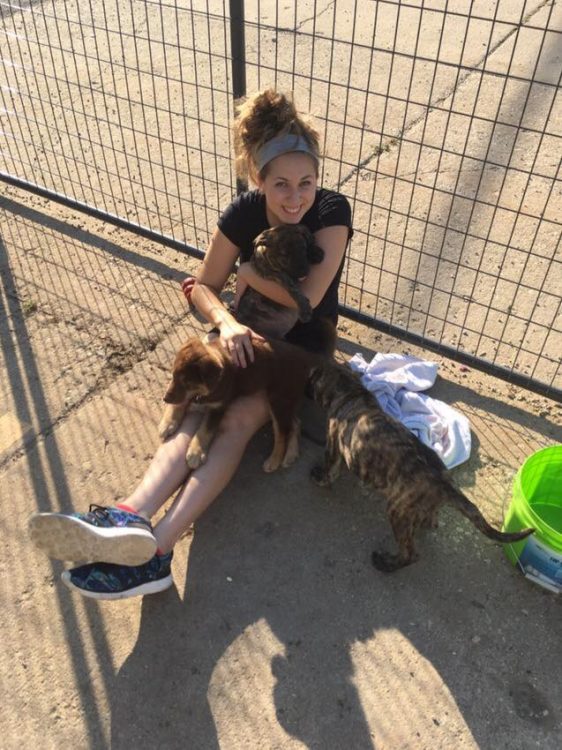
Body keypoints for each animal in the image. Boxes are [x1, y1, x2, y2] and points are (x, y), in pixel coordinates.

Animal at [308, 362, 532, 572]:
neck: (351, 392)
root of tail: (445, 484)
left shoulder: (333, 444)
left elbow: (330, 468)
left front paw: (319, 477)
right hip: (417, 509)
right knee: (430, 521)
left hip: (397, 510)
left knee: (410, 553)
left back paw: (386, 563)